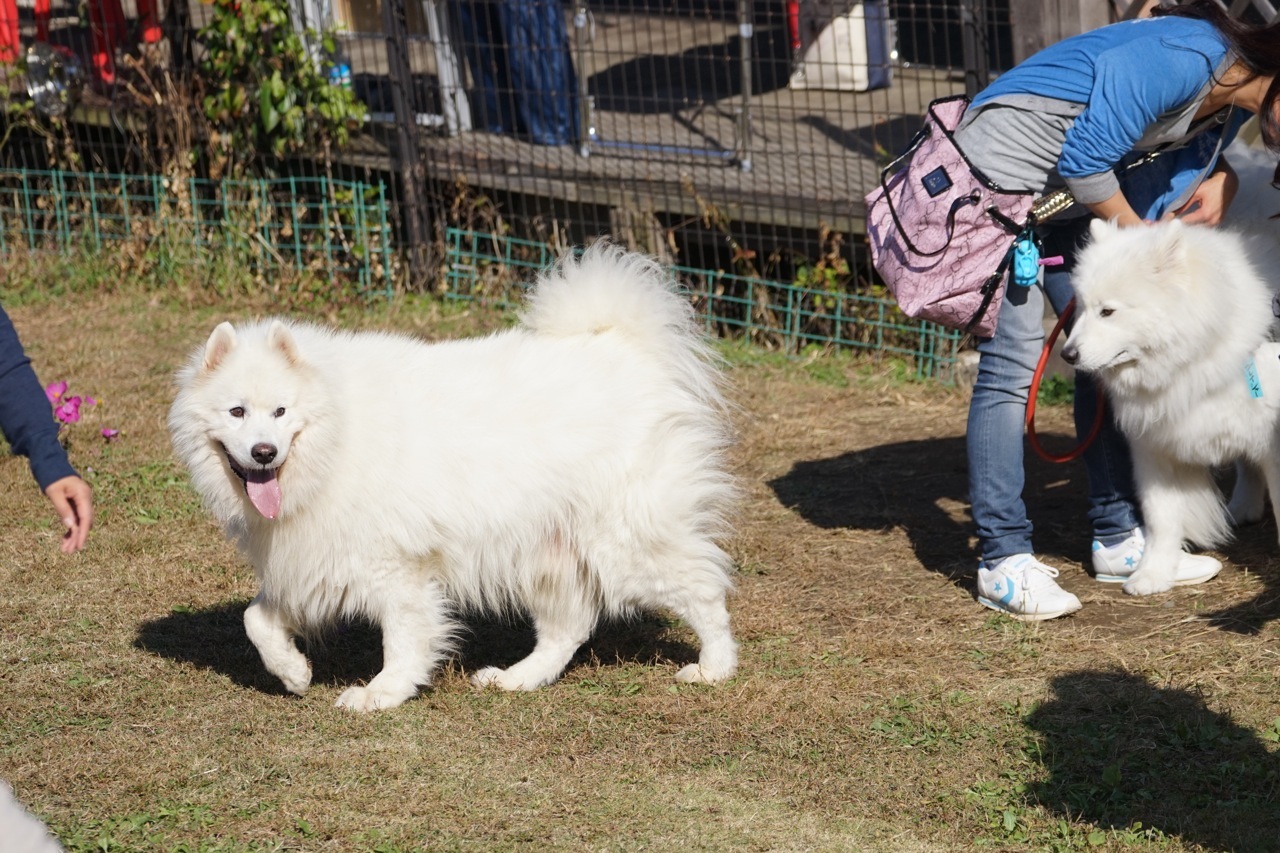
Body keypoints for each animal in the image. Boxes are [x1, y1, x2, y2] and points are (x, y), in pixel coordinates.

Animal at [167, 242, 742, 706]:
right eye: (237, 413)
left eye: (281, 412)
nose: (264, 453)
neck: (335, 437)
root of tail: (621, 345)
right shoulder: (312, 559)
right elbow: (255, 619)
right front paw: (293, 672)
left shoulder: (395, 567)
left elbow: (402, 639)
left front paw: (381, 694)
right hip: (548, 551)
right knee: (567, 630)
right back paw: (515, 678)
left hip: (625, 543)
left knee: (703, 591)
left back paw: (713, 667)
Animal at [1059, 216, 1280, 594]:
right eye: (1083, 308)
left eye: (1108, 311)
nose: (1067, 355)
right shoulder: (1152, 448)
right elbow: (1160, 520)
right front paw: (1152, 575)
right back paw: (1243, 508)